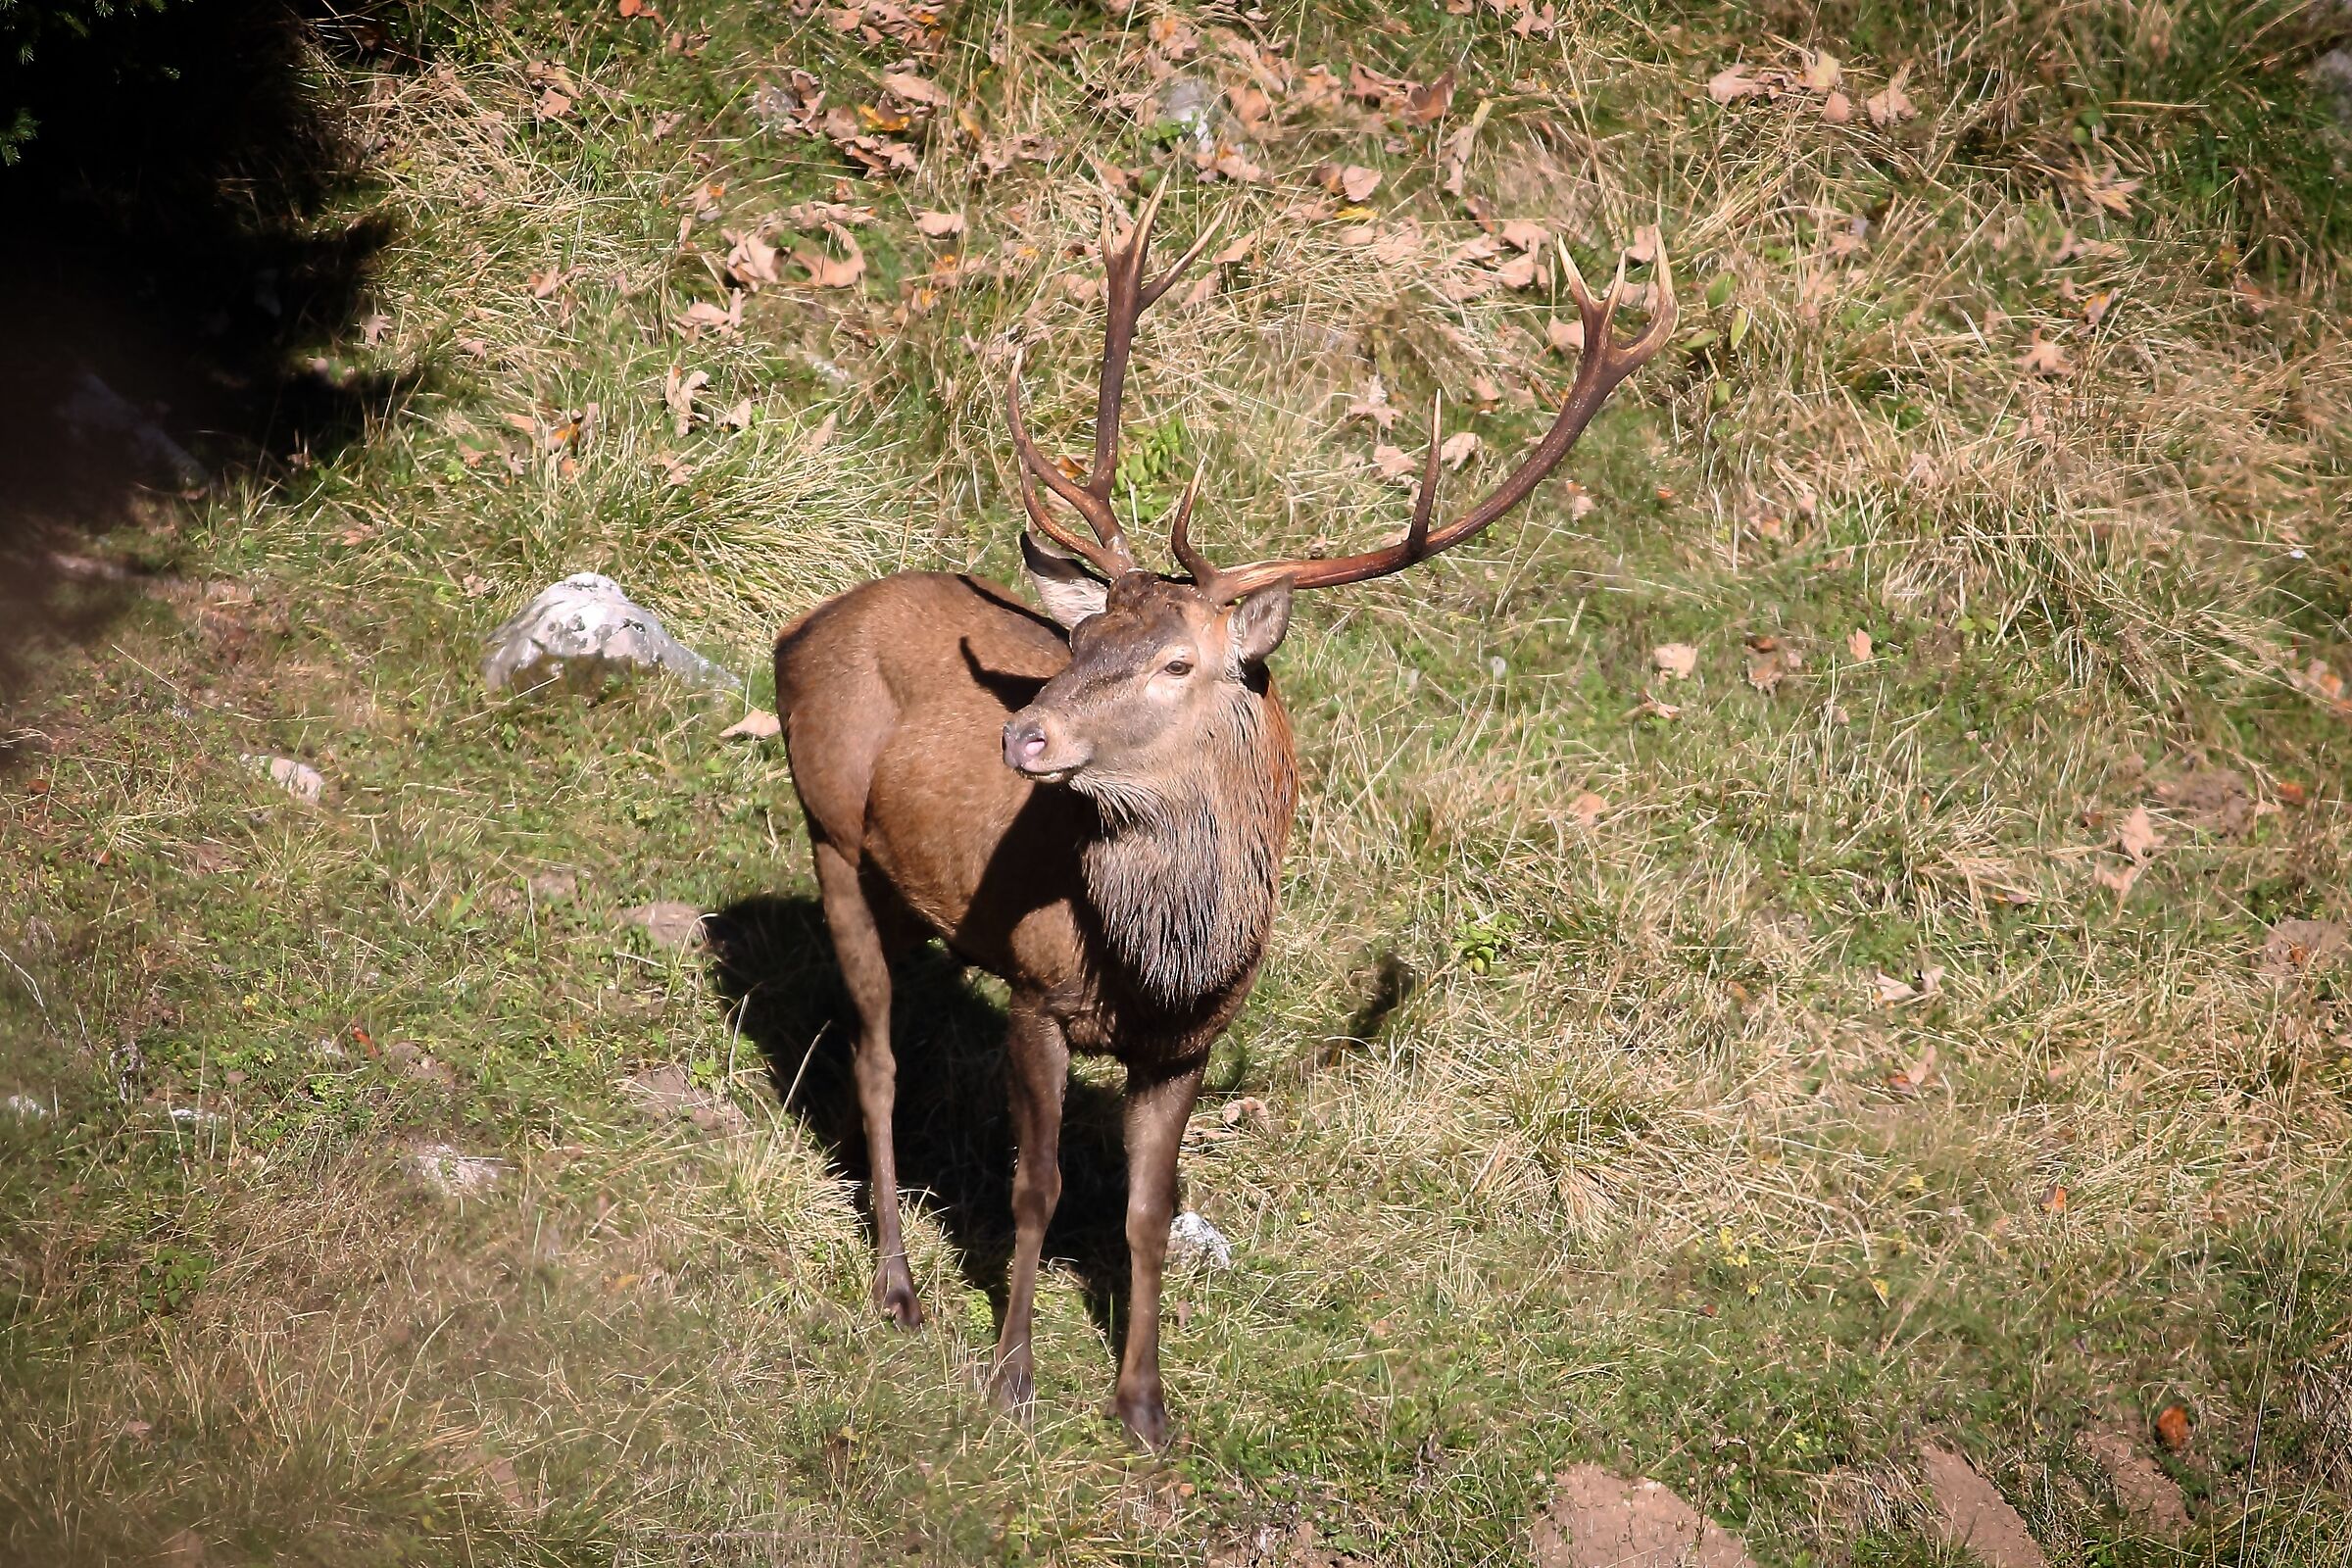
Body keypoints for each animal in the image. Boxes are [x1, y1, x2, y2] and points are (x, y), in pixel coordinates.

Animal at [772, 186, 1673, 1448]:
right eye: (1083, 639)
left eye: (1176, 661)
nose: (1023, 737)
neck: (1157, 958)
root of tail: (794, 632)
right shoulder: (1040, 990)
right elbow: (1036, 1188)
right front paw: (1012, 1379)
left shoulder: (1190, 1039)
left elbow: (1151, 1210)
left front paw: (1147, 1405)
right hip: (827, 827)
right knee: (874, 1052)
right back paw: (897, 1284)